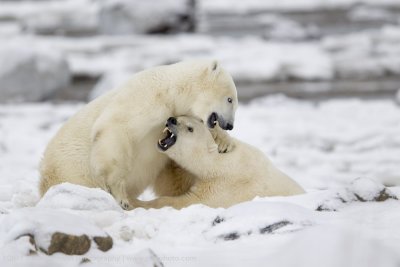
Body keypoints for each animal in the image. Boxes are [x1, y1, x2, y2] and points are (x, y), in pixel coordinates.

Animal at [38, 60, 238, 209]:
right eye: (230, 99)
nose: (229, 125)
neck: (171, 90)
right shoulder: (146, 97)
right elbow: (115, 128)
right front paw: (121, 198)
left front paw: (225, 143)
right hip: (71, 170)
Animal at [130, 116, 304, 210]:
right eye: (180, 115)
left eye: (190, 128)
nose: (171, 119)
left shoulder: (222, 187)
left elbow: (186, 201)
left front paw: (134, 202)